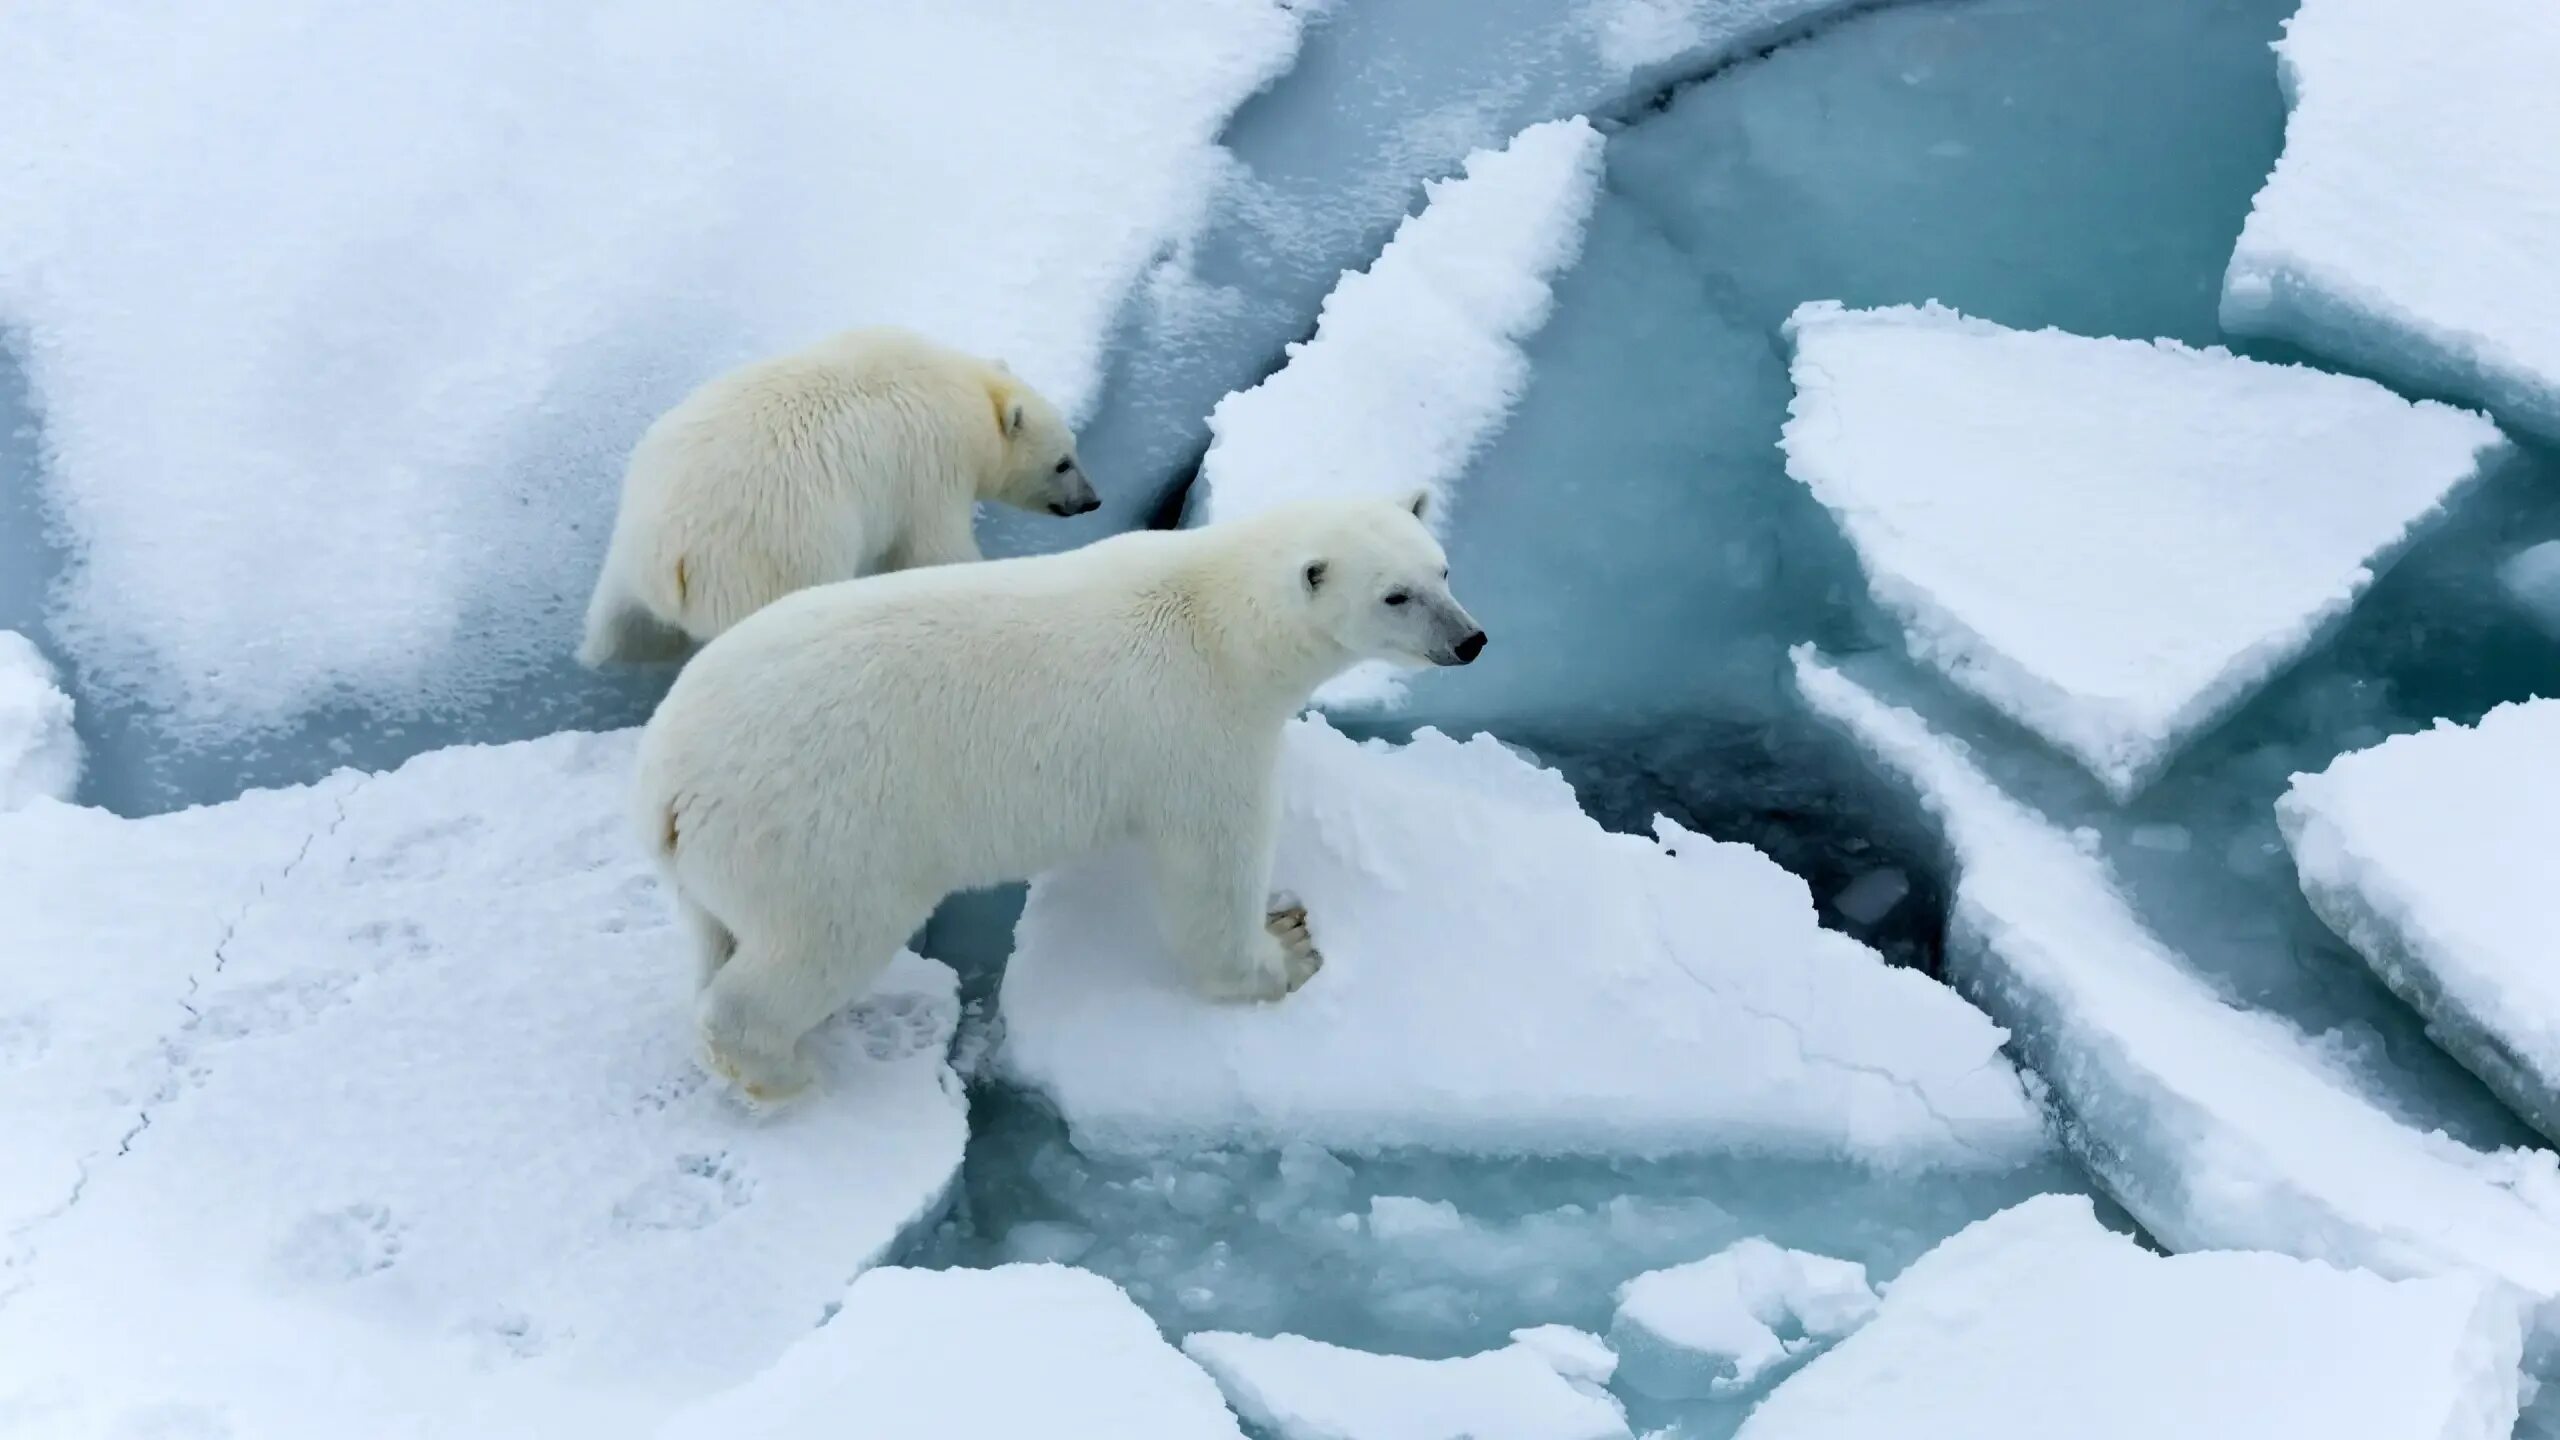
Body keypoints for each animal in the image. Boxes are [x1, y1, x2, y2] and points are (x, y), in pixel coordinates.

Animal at [581, 325, 1100, 661]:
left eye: (1073, 451)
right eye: (1063, 462)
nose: (1092, 500)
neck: (963, 390)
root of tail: (672, 558)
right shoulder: (929, 470)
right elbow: (933, 549)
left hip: (627, 558)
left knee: (618, 627)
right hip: (772, 560)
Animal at [627, 491, 1495, 1096]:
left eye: (1443, 569)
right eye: (1395, 596)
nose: (1471, 639)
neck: (1221, 621)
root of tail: (666, 781)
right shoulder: (1198, 730)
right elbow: (1213, 868)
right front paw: (1286, 948)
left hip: (724, 859)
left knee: (718, 935)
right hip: (817, 831)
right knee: (819, 941)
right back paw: (781, 1070)